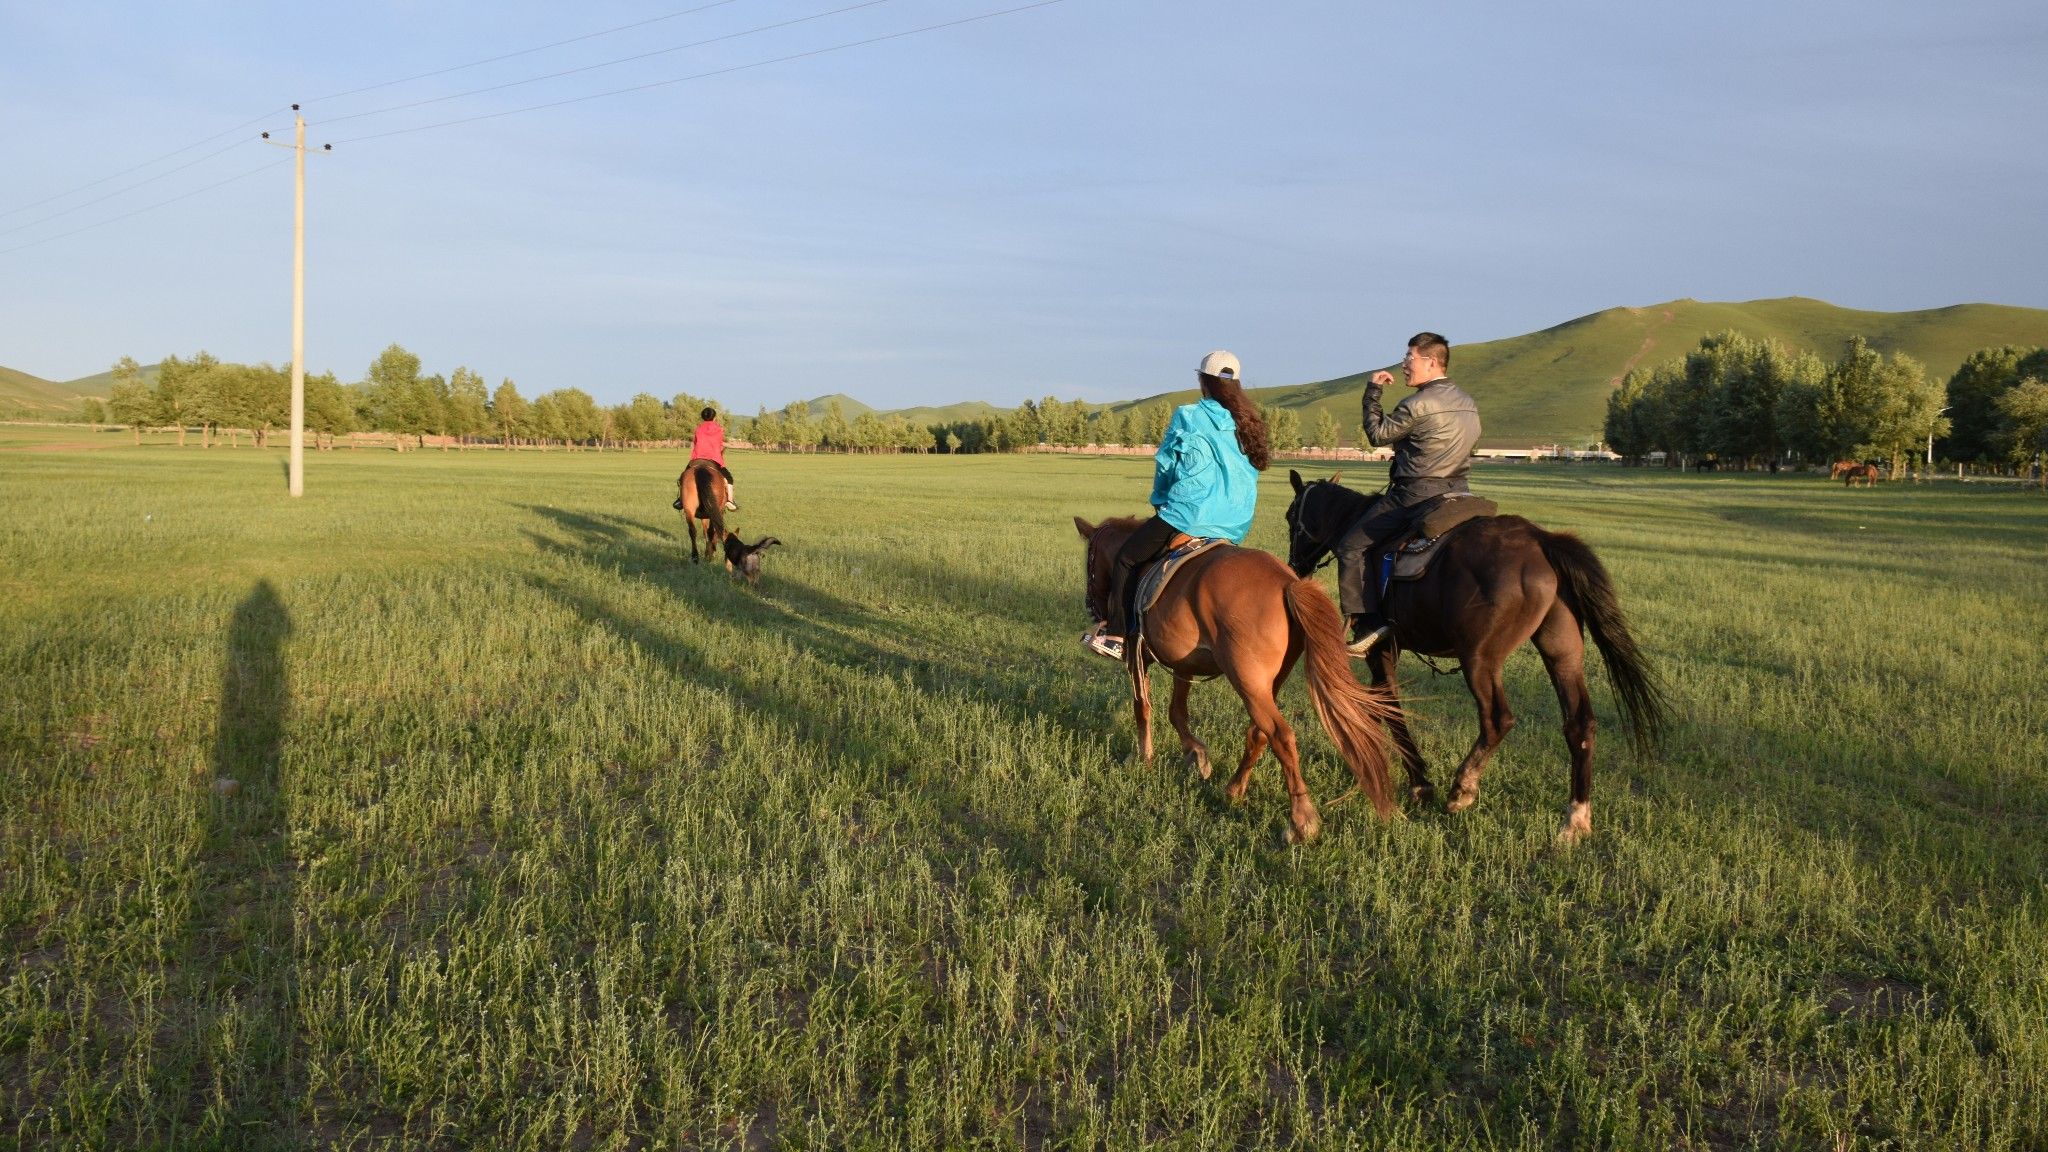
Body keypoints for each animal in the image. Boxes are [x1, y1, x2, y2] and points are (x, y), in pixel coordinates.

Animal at [1073, 516, 1409, 840]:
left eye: (1089, 565)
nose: (1092, 608)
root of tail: (1288, 583)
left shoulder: (1137, 653)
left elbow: (1142, 707)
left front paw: (1144, 757)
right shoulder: (1183, 664)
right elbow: (1177, 712)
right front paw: (1195, 754)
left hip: (1247, 681)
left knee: (1280, 735)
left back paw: (1301, 820)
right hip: (1266, 684)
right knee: (1259, 733)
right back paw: (1235, 788)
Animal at [1277, 471, 1662, 840]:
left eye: (1291, 516)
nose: (1294, 565)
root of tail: (1541, 540)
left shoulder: (1381, 649)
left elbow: (1391, 709)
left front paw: (1419, 784)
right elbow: (1376, 707)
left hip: (1479, 659)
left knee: (1498, 719)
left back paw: (1462, 788)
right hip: (1562, 652)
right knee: (1580, 724)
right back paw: (1575, 820)